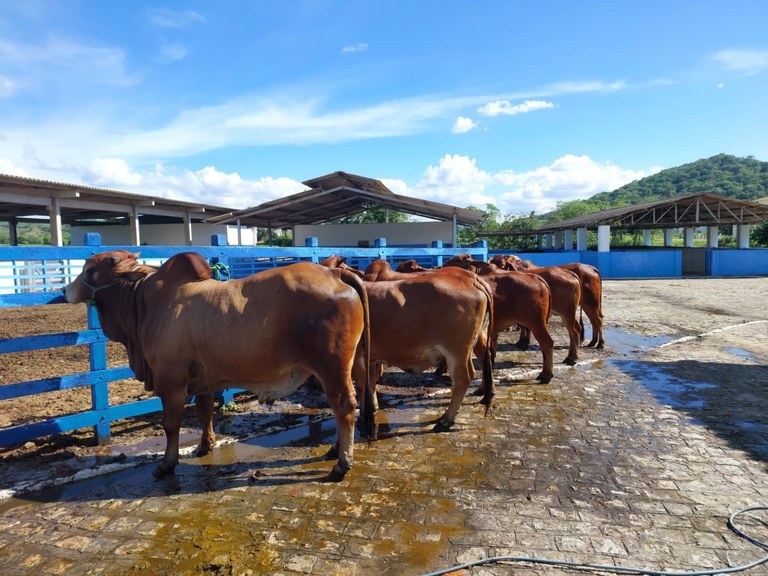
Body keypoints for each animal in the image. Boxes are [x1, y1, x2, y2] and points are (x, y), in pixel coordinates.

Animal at [67, 251, 374, 482]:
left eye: (90, 270)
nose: (65, 290)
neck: (144, 303)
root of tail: (335, 274)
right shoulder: (204, 380)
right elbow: (205, 414)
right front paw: (206, 445)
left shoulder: (170, 380)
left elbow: (171, 425)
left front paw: (167, 464)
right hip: (350, 365)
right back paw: (336, 450)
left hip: (331, 368)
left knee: (344, 407)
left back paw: (342, 464)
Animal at [352, 268, 492, 428]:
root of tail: (470, 279)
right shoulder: (371, 358)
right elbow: (370, 384)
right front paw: (373, 407)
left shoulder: (357, 356)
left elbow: (362, 387)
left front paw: (363, 417)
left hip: (456, 352)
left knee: (463, 378)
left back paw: (446, 420)